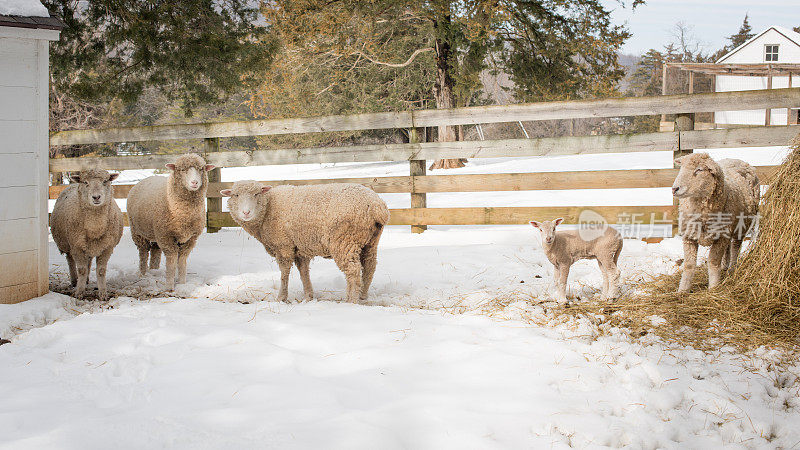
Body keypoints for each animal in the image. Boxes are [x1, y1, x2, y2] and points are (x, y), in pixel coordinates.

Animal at [49, 169, 123, 298]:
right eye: (85, 182)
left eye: (105, 181)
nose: (96, 197)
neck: (95, 227)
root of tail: (73, 183)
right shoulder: (76, 246)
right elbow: (81, 270)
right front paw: (79, 293)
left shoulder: (107, 247)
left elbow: (101, 271)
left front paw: (103, 293)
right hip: (70, 244)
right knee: (70, 260)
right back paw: (75, 281)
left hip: (88, 246)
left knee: (88, 261)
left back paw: (87, 280)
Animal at [126, 153, 214, 290]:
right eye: (182, 170)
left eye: (201, 169)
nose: (195, 182)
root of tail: (146, 179)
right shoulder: (166, 237)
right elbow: (171, 262)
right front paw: (169, 286)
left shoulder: (190, 239)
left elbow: (182, 261)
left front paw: (182, 284)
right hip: (137, 232)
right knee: (143, 252)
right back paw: (143, 274)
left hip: (155, 234)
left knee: (155, 251)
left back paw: (154, 271)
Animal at [220, 181, 390, 304]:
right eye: (235, 195)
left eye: (256, 194)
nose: (246, 212)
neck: (268, 207)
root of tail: (376, 205)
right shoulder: (300, 249)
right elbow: (303, 272)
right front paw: (309, 296)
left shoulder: (284, 246)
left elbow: (284, 273)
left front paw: (281, 298)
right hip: (370, 241)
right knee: (369, 268)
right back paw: (363, 296)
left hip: (344, 241)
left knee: (353, 270)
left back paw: (351, 301)